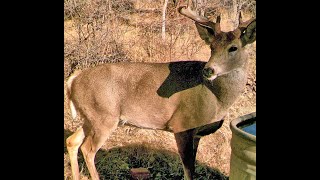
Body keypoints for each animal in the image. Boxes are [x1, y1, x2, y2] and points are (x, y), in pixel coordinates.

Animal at [64, 3, 255, 180]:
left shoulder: (197, 134)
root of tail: (73, 80)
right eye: (212, 47)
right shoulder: (182, 125)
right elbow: (188, 171)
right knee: (87, 149)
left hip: (91, 116)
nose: (208, 70)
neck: (216, 98)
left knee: (72, 141)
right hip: (104, 116)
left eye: (233, 47)